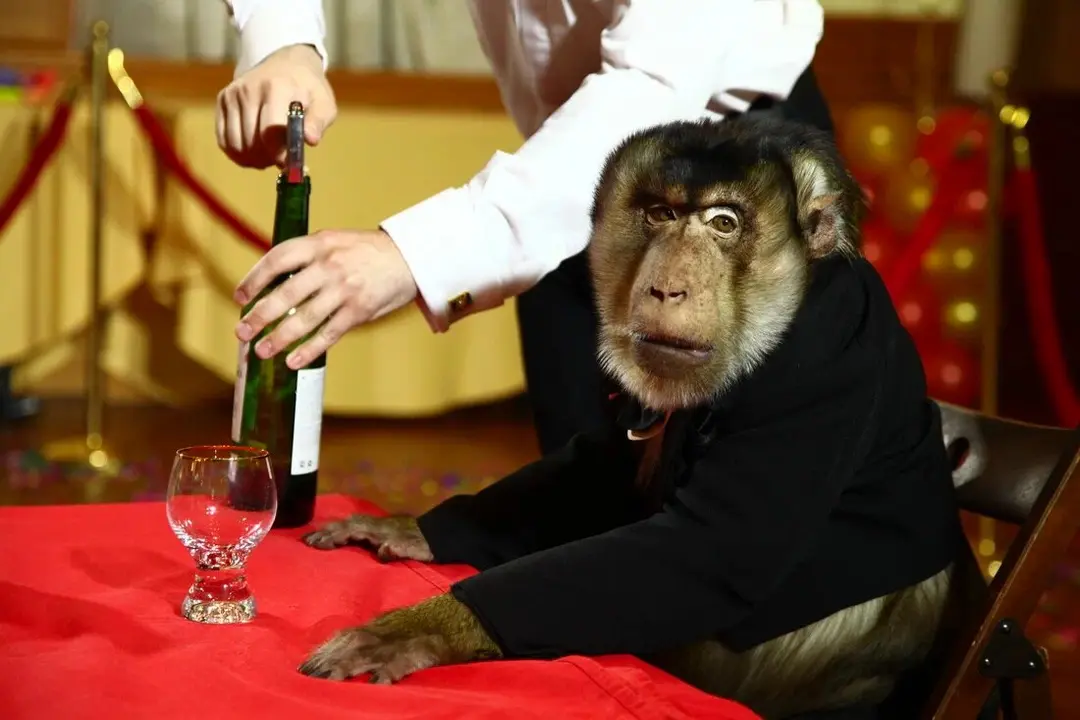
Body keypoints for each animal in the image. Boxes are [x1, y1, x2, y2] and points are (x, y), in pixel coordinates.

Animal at [295, 114, 972, 720]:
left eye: (723, 223)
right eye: (661, 215)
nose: (666, 287)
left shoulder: (829, 357)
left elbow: (712, 549)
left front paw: (425, 626)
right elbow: (602, 458)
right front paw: (414, 528)